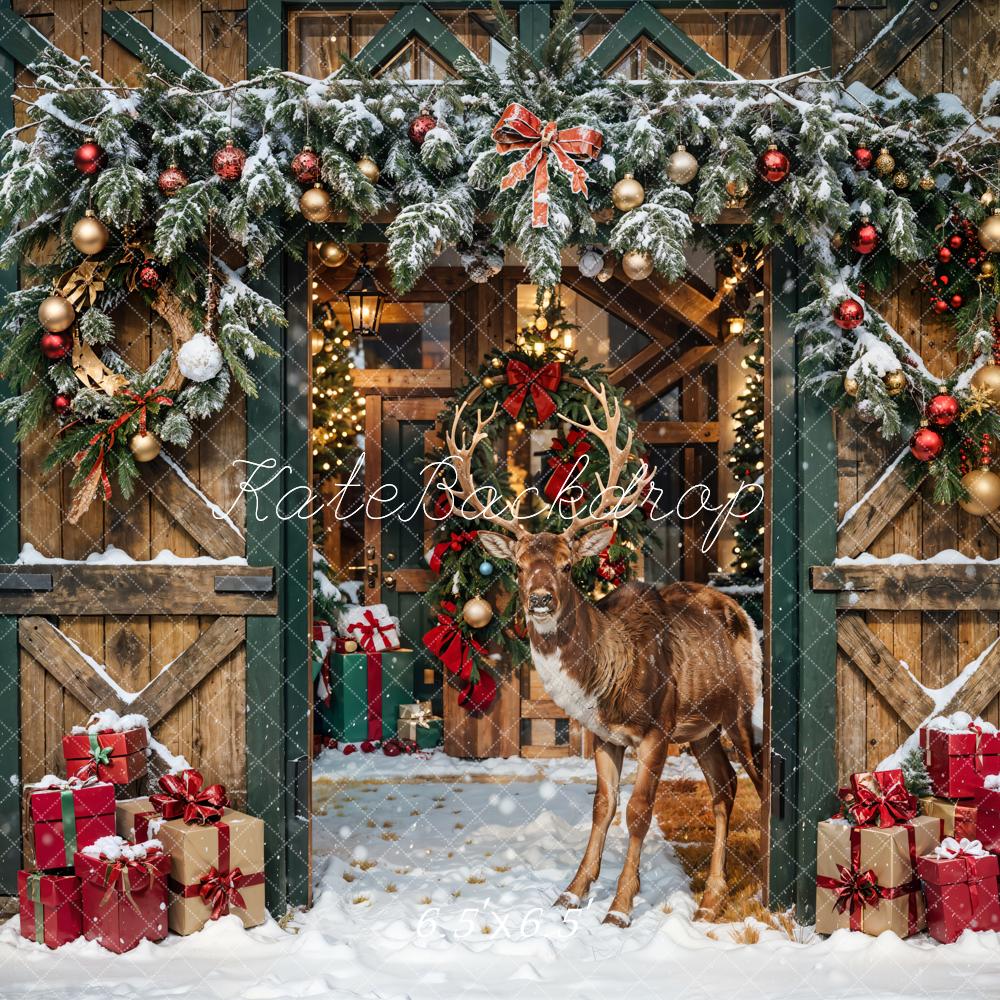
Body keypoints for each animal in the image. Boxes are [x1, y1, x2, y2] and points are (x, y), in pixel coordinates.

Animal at [442, 378, 760, 924]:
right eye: (518, 567)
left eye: (568, 565)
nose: (540, 599)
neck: (605, 680)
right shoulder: (604, 736)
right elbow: (602, 807)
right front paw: (572, 891)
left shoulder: (656, 728)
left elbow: (638, 811)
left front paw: (621, 906)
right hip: (703, 728)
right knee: (725, 787)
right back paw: (712, 897)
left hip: (742, 708)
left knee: (764, 779)